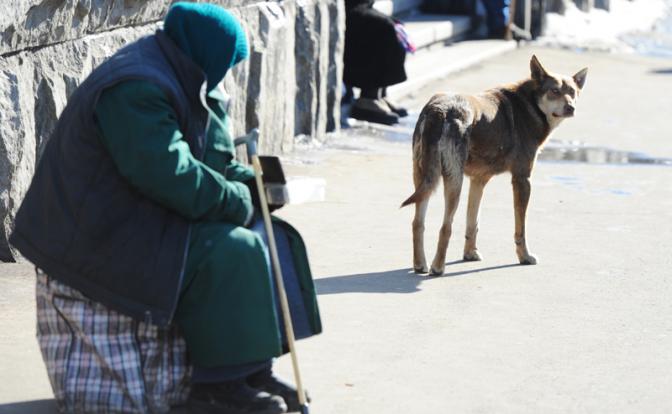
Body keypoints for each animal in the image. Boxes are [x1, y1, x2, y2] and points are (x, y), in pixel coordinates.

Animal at [402, 55, 584, 274]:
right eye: (554, 91)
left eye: (572, 92)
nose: (571, 108)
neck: (530, 105)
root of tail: (439, 110)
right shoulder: (522, 180)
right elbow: (520, 229)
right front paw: (524, 256)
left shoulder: (478, 181)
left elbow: (473, 222)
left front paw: (470, 254)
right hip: (454, 181)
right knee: (445, 227)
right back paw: (437, 268)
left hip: (423, 178)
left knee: (417, 223)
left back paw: (420, 264)